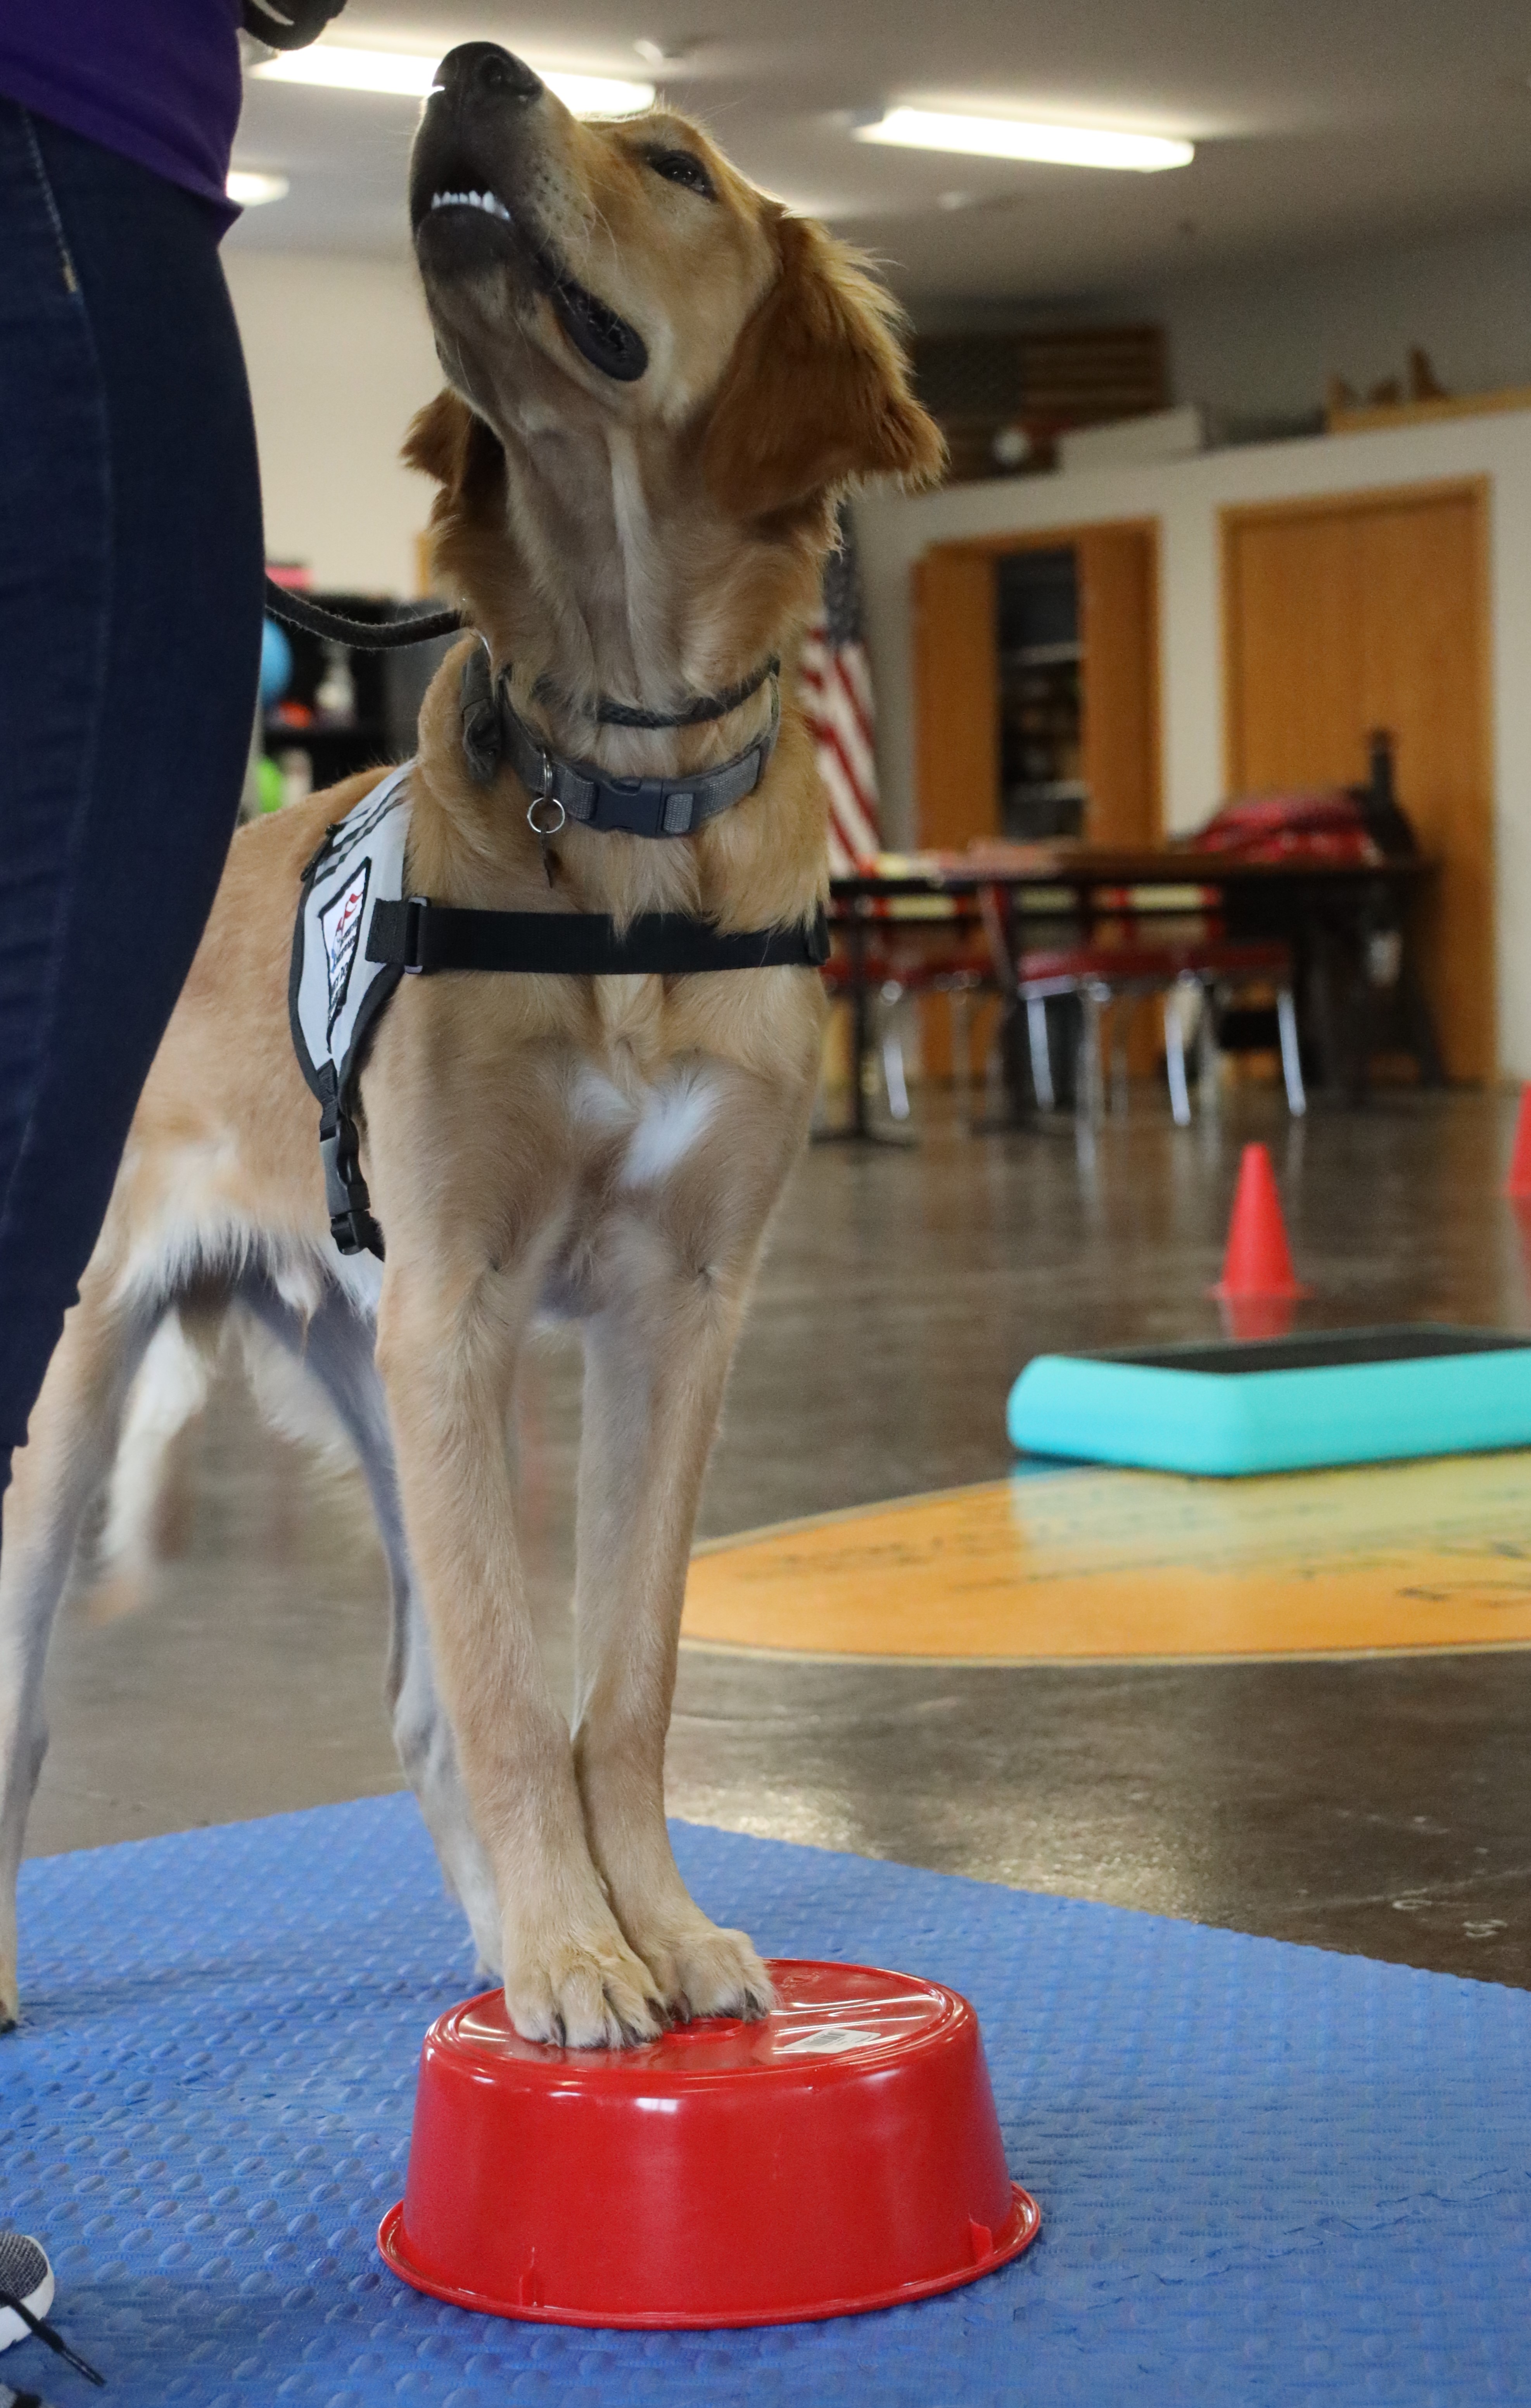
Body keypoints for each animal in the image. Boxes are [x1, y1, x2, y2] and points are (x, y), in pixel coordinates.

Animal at [0, 42, 942, 2045]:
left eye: (674, 161)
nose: (467, 65)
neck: (627, 777)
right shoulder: (463, 1298)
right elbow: (525, 1688)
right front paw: (585, 1953)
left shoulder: (676, 1310)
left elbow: (621, 1670)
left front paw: (641, 1928)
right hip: (116, 1369)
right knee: (33, 1700)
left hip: (376, 1364)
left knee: (429, 1699)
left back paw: (519, 1934)